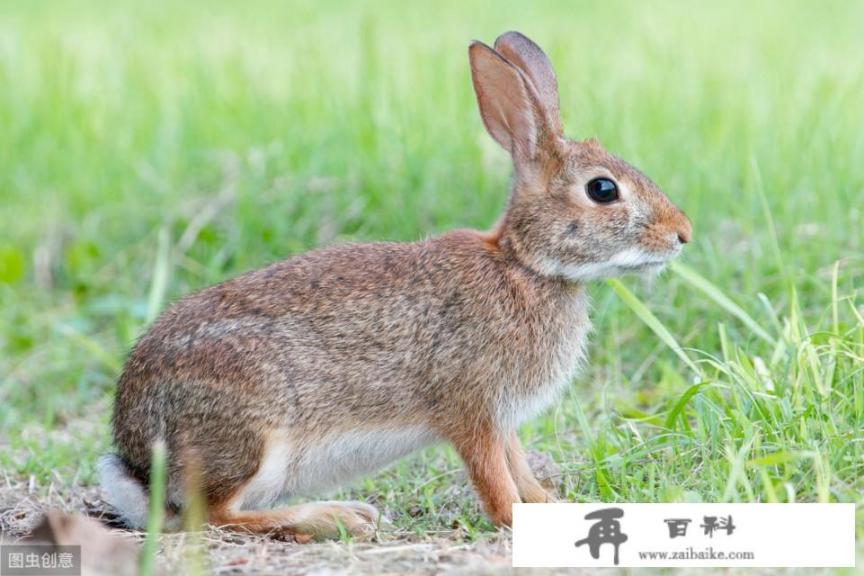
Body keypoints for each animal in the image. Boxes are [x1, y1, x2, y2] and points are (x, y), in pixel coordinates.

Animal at [101, 32, 692, 540]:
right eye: (602, 190)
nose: (682, 234)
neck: (525, 265)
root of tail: (135, 464)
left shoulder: (502, 419)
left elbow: (518, 465)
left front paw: (550, 505)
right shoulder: (471, 408)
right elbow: (493, 477)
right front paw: (514, 519)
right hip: (251, 431)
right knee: (214, 515)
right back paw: (338, 518)